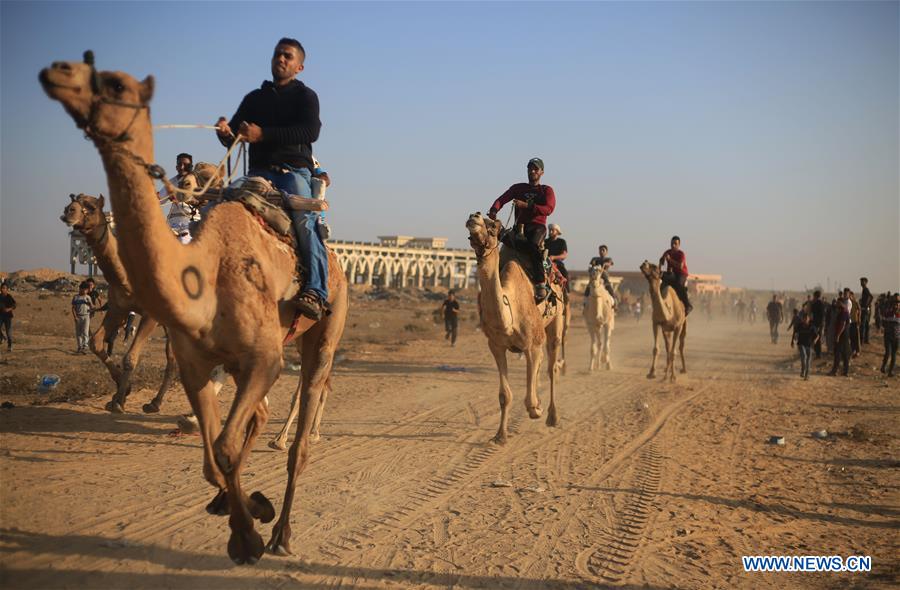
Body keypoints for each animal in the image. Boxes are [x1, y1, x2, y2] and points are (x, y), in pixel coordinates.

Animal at [60, 192, 178, 414]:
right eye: (73, 199)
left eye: (91, 206)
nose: (68, 212)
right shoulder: (118, 308)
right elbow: (96, 343)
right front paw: (121, 393)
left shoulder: (150, 315)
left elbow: (130, 358)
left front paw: (118, 402)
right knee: (173, 358)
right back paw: (154, 403)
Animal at [468, 213, 568, 444]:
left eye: (492, 226)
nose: (473, 216)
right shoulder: (496, 346)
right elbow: (504, 395)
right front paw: (500, 436)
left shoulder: (532, 344)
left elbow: (529, 399)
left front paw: (537, 409)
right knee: (540, 368)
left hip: (556, 321)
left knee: (551, 368)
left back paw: (552, 416)